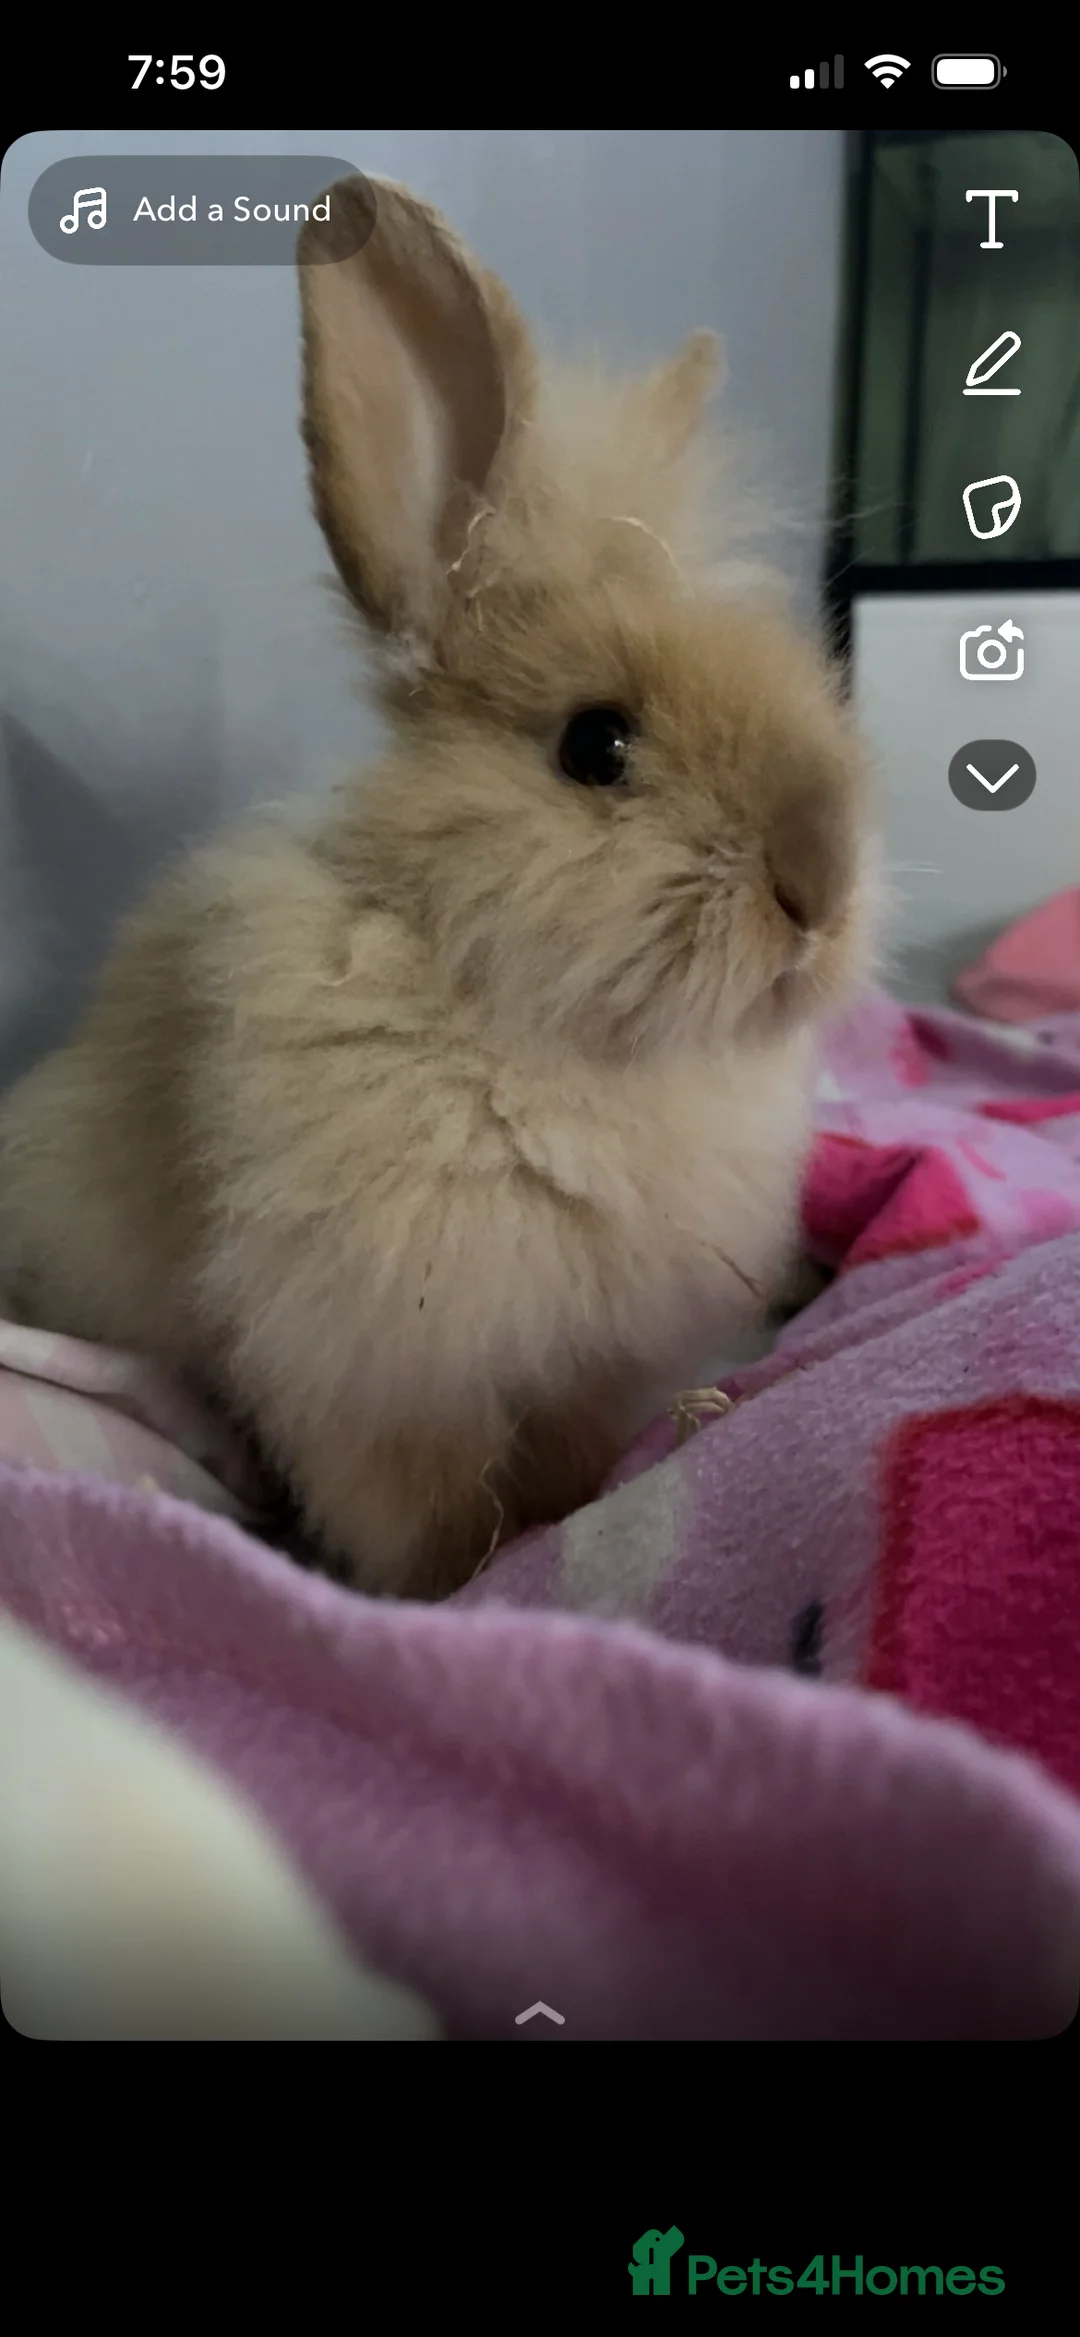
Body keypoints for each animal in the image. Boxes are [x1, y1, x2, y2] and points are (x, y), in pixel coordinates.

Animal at [0, 175, 876, 1598]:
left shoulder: (589, 1363)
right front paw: (460, 1586)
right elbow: (427, 1516)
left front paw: (572, 1517)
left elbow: (571, 1462)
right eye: (596, 745)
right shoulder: (378, 1378)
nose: (823, 883)